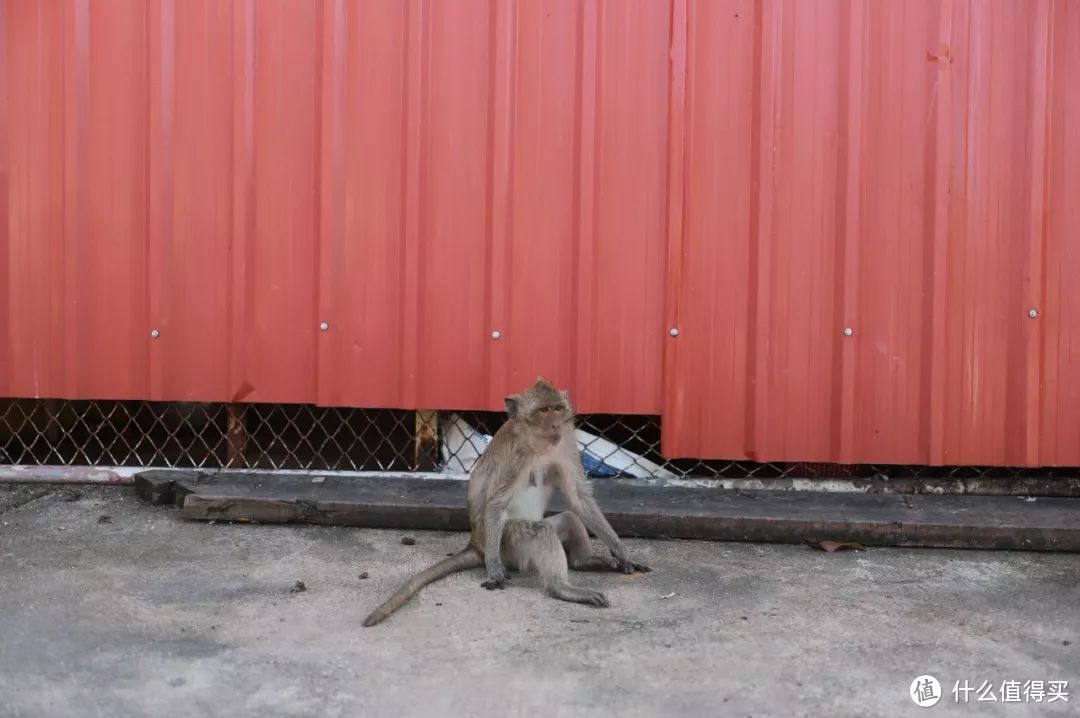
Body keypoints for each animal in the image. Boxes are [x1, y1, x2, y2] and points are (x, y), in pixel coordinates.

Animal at [362, 377, 648, 626]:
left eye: (557, 408)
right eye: (543, 410)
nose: (556, 424)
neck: (538, 444)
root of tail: (476, 544)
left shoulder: (565, 444)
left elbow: (578, 497)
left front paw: (622, 553)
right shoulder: (515, 458)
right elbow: (496, 503)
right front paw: (494, 570)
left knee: (568, 518)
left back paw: (583, 562)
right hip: (509, 547)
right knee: (539, 530)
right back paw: (561, 588)